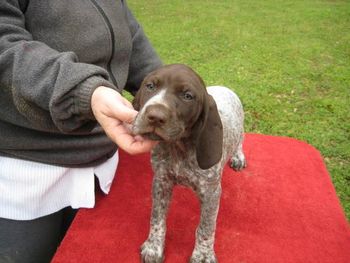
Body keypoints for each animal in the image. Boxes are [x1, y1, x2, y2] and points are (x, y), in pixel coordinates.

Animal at [132, 64, 246, 263]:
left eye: (187, 96)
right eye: (150, 86)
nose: (155, 116)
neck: (179, 147)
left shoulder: (211, 193)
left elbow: (206, 227)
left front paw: (203, 255)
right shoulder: (161, 182)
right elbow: (157, 217)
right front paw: (154, 247)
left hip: (240, 127)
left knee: (241, 140)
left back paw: (238, 157)